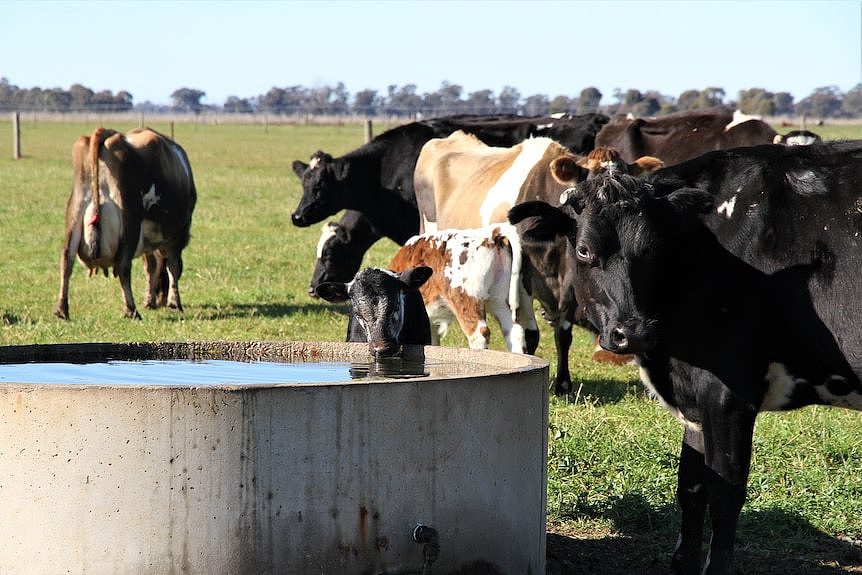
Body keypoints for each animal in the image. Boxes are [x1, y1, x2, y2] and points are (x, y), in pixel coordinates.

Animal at [54, 126, 200, 322]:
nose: (160, 300)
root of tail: (107, 134)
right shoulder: (178, 235)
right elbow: (173, 267)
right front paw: (174, 303)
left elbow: (150, 267)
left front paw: (150, 300)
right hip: (130, 224)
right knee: (123, 266)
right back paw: (131, 310)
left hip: (75, 218)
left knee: (66, 261)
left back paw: (62, 309)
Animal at [510, 141, 862, 575]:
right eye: (584, 249)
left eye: (651, 249)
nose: (635, 332)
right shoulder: (695, 396)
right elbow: (691, 487)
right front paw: (683, 561)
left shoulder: (729, 393)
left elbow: (725, 494)